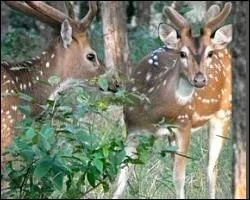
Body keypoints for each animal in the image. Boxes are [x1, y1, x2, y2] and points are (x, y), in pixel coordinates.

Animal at [113, 2, 232, 199]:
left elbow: (178, 178)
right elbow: (120, 179)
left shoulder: (184, 124)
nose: (200, 80)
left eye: (210, 53)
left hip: (224, 113)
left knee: (212, 167)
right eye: (182, 53)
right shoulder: (132, 129)